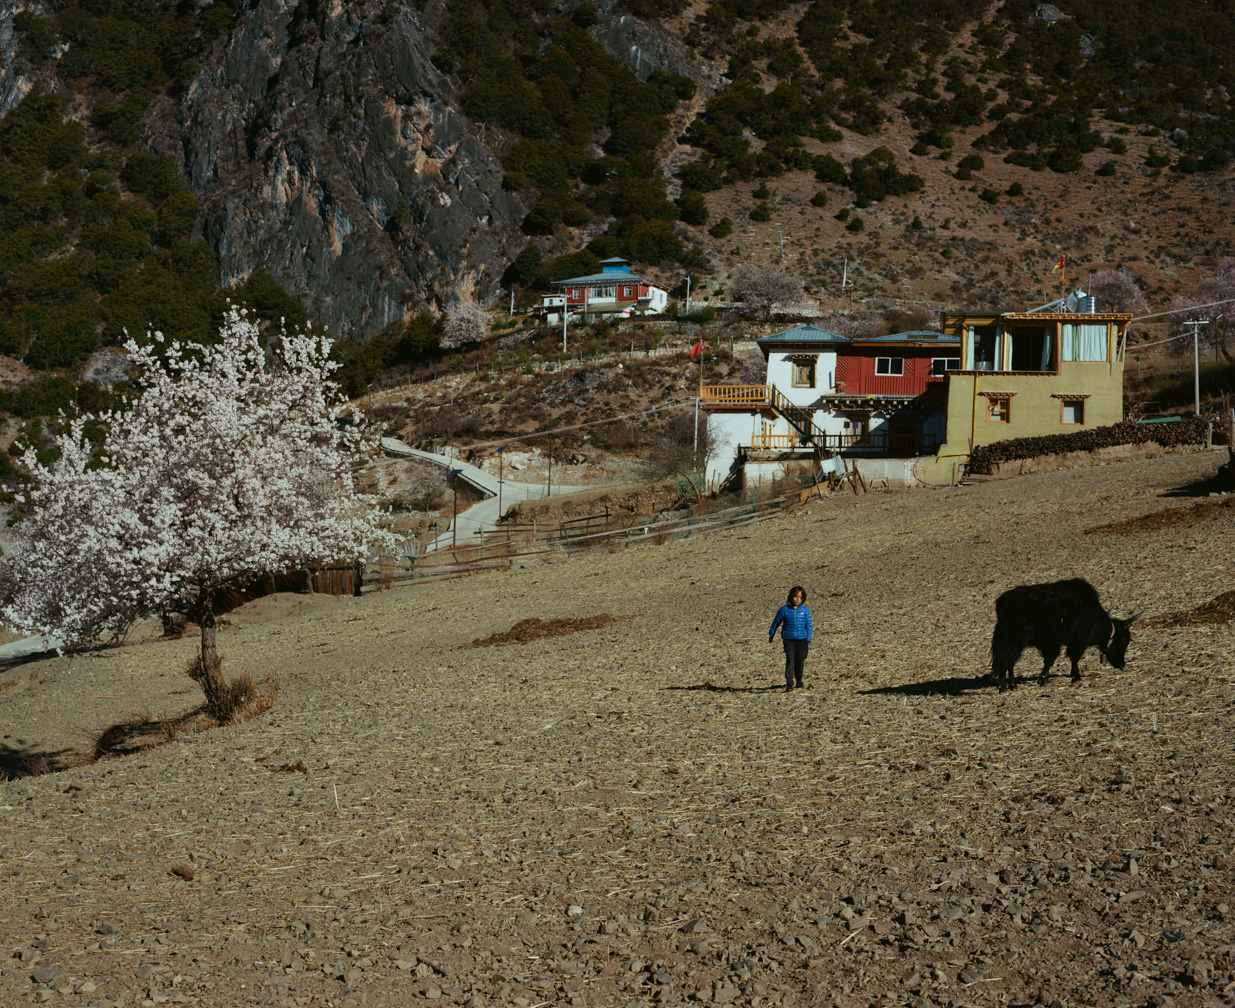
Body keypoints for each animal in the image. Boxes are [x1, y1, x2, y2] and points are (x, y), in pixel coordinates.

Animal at [990, 578, 1141, 691]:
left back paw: (1010, 685)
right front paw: (1073, 677)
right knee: (1007, 661)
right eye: (1124, 641)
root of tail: (1002, 602)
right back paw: (1005, 686)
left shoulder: (1054, 644)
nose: (1122, 664)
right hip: (1015, 640)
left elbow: (1053, 660)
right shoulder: (1074, 642)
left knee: (1007, 661)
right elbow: (1069, 659)